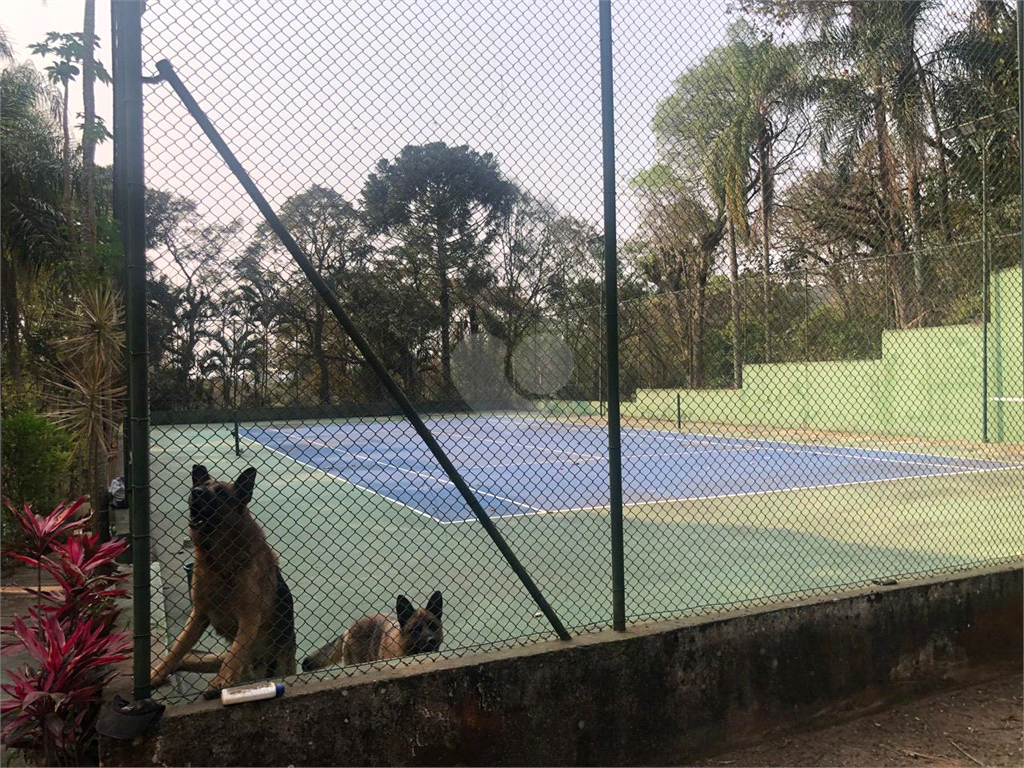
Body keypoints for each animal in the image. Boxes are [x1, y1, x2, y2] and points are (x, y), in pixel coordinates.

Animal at [149, 466, 299, 700]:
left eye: (221, 492)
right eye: (199, 486)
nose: (196, 492)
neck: (220, 562)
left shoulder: (249, 618)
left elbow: (235, 653)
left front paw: (220, 681)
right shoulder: (199, 614)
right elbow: (177, 648)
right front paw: (157, 673)